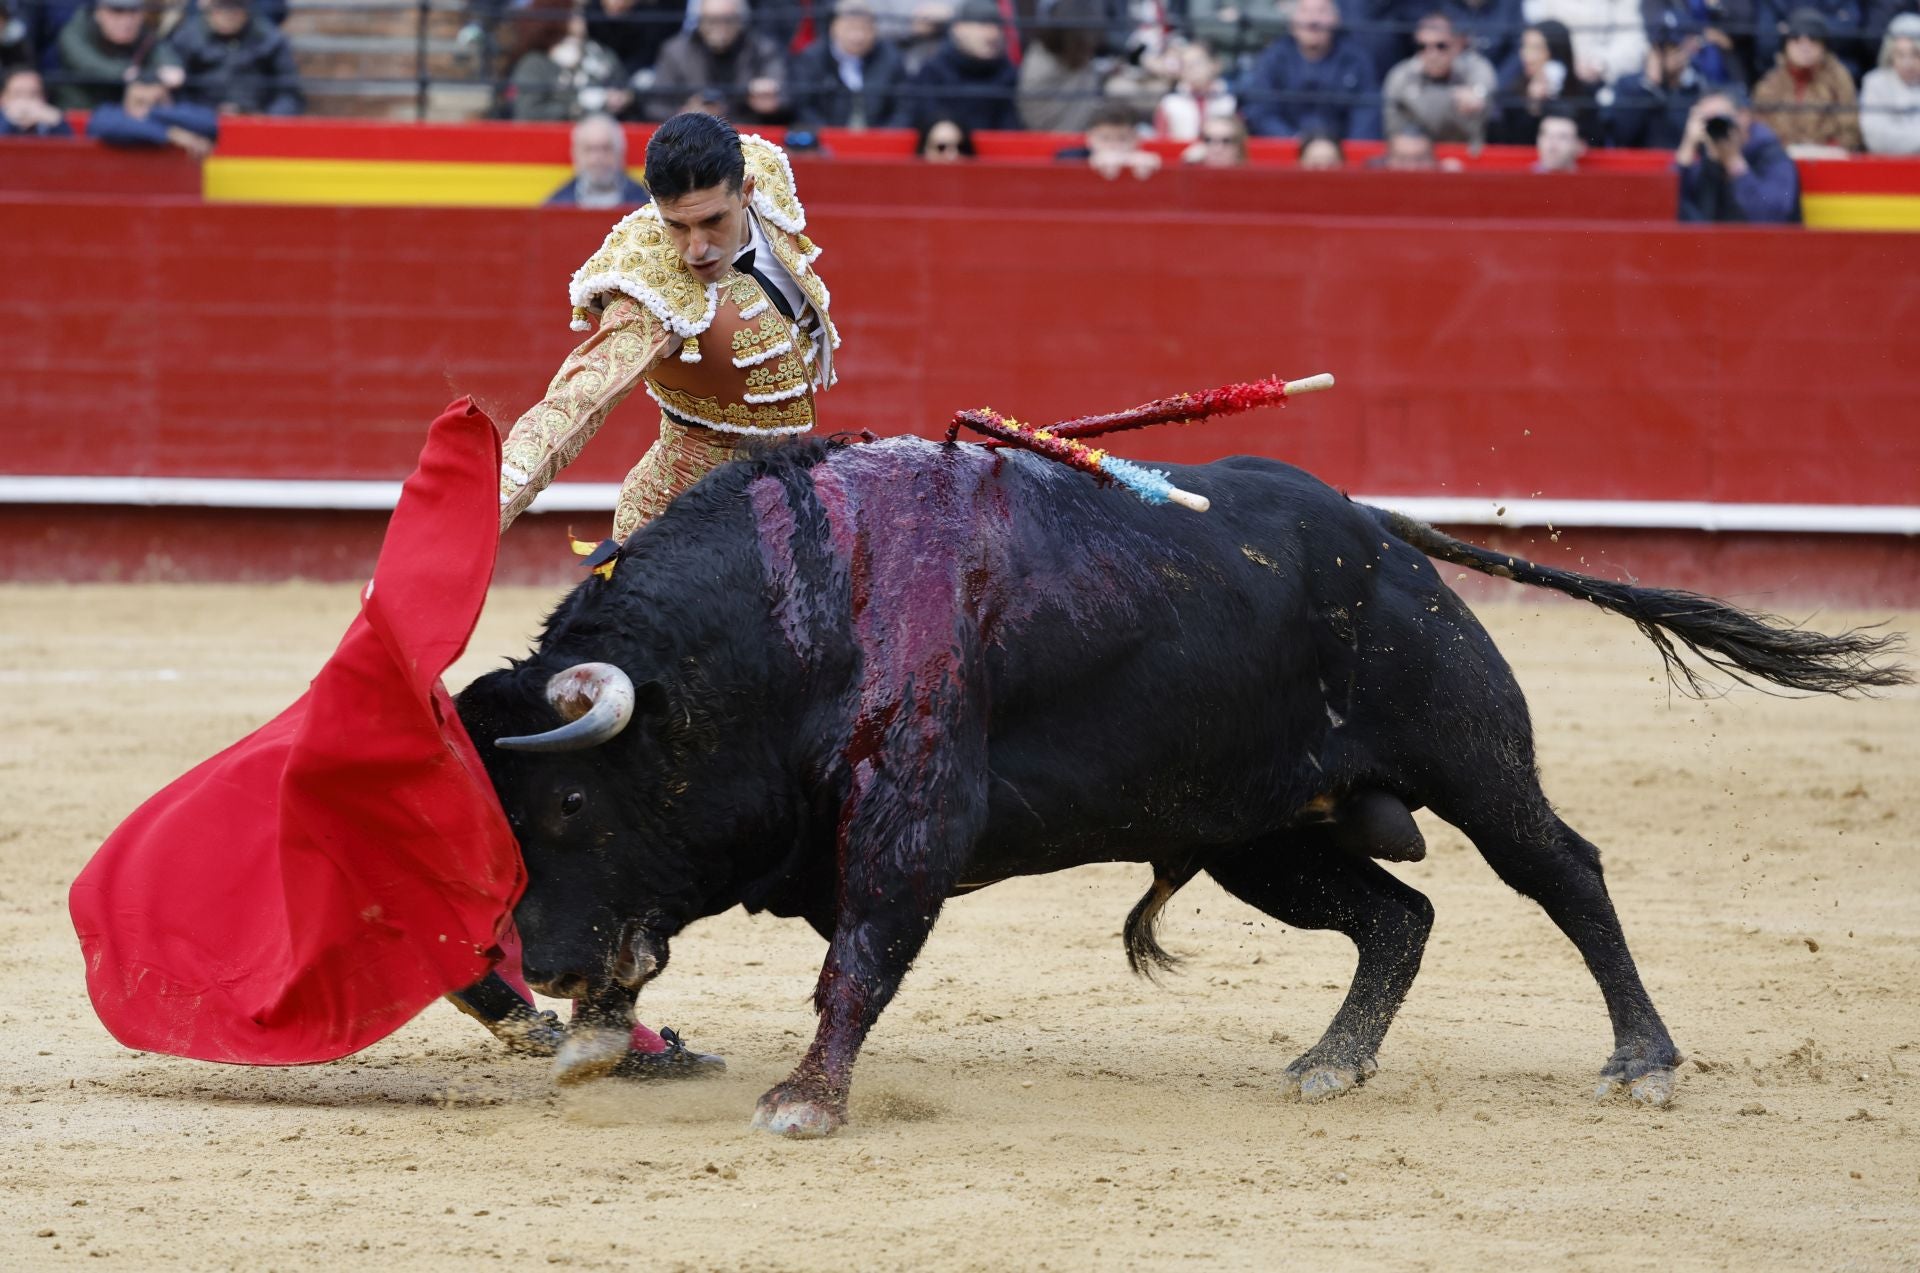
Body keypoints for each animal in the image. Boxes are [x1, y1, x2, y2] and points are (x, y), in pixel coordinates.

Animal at [453, 435, 1904, 1136]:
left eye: (568, 805)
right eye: (503, 818)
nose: (532, 961)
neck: (793, 608)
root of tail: (1378, 529)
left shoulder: (913, 811)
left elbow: (861, 953)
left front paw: (803, 1101)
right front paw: (600, 1033)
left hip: (1467, 748)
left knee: (1562, 870)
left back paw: (1643, 1061)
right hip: (1259, 832)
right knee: (1399, 915)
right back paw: (1331, 1064)